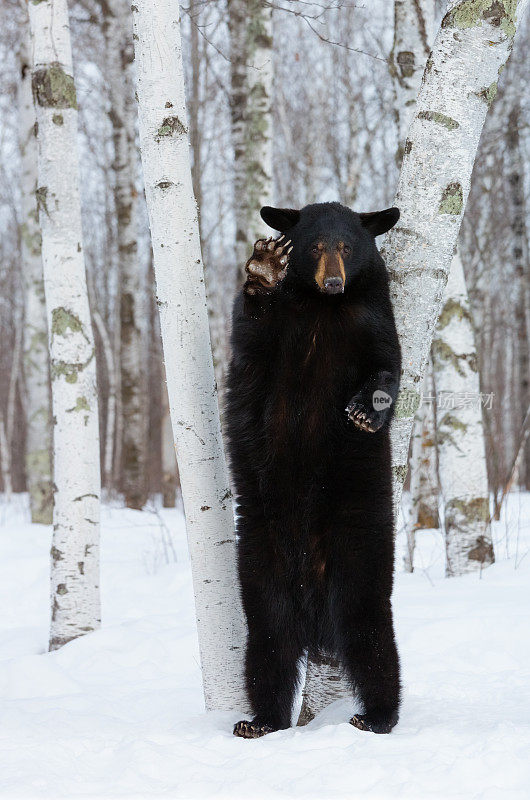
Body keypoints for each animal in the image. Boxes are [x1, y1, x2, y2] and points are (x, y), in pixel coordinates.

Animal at [224, 202, 400, 736]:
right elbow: (251, 336)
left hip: (361, 555)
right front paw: (264, 266)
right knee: (268, 650)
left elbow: (388, 363)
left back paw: (377, 716)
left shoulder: (372, 317)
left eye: (347, 245)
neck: (325, 311)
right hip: (260, 567)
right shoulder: (277, 331)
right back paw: (260, 721)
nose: (334, 282)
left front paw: (364, 412)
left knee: (372, 641)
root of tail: (314, 617)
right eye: (315, 245)